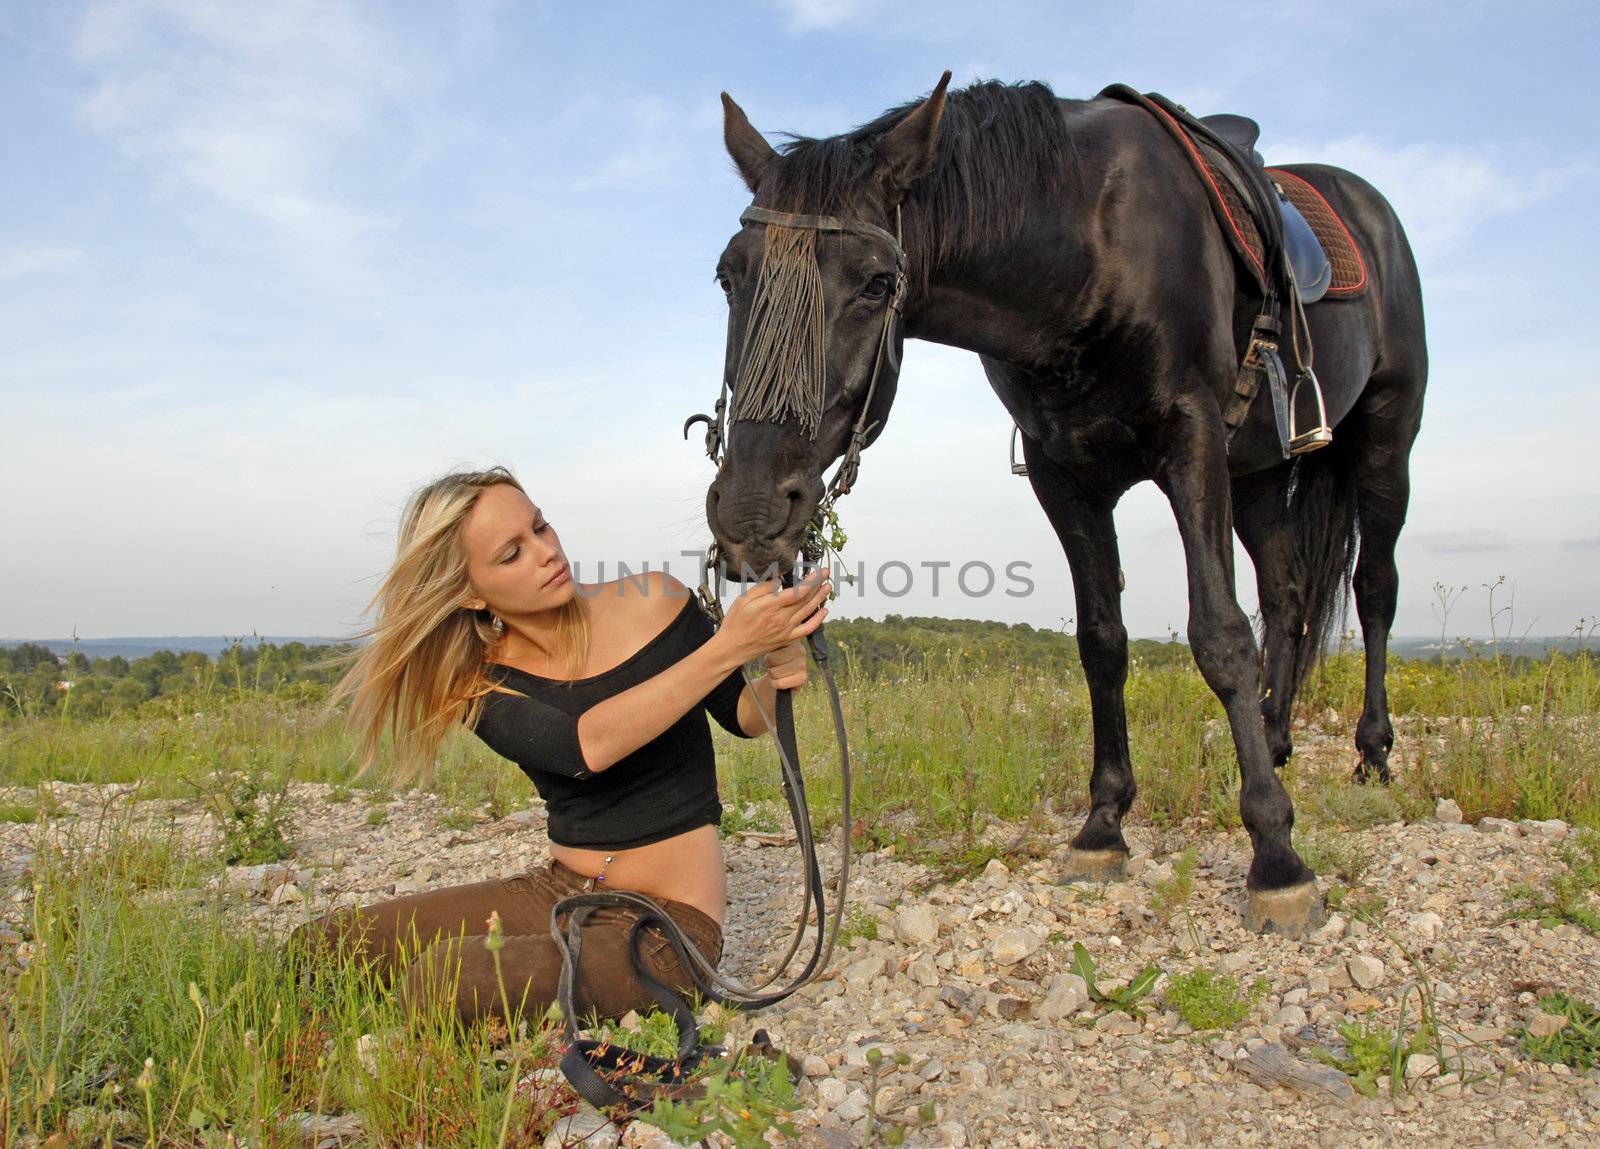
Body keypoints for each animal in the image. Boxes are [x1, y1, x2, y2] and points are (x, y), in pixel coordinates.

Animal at [707, 74, 1433, 934]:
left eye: (879, 283)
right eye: (728, 274)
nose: (750, 514)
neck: (1091, 247)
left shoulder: (1191, 440)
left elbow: (1220, 637)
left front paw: (1276, 855)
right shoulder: (1066, 477)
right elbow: (1102, 642)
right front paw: (1103, 826)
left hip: (1386, 438)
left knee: (1375, 589)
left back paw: (1373, 750)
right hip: (1259, 474)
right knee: (1288, 597)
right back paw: (1277, 734)